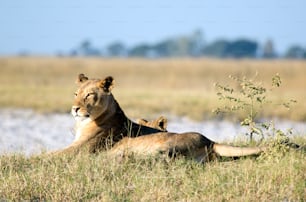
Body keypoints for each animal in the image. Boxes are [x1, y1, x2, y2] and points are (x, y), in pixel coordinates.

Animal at [53, 73, 268, 162]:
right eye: (75, 94)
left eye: (89, 95)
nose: (74, 109)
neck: (86, 122)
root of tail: (209, 140)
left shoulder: (79, 150)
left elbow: (49, 155)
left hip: (167, 145)